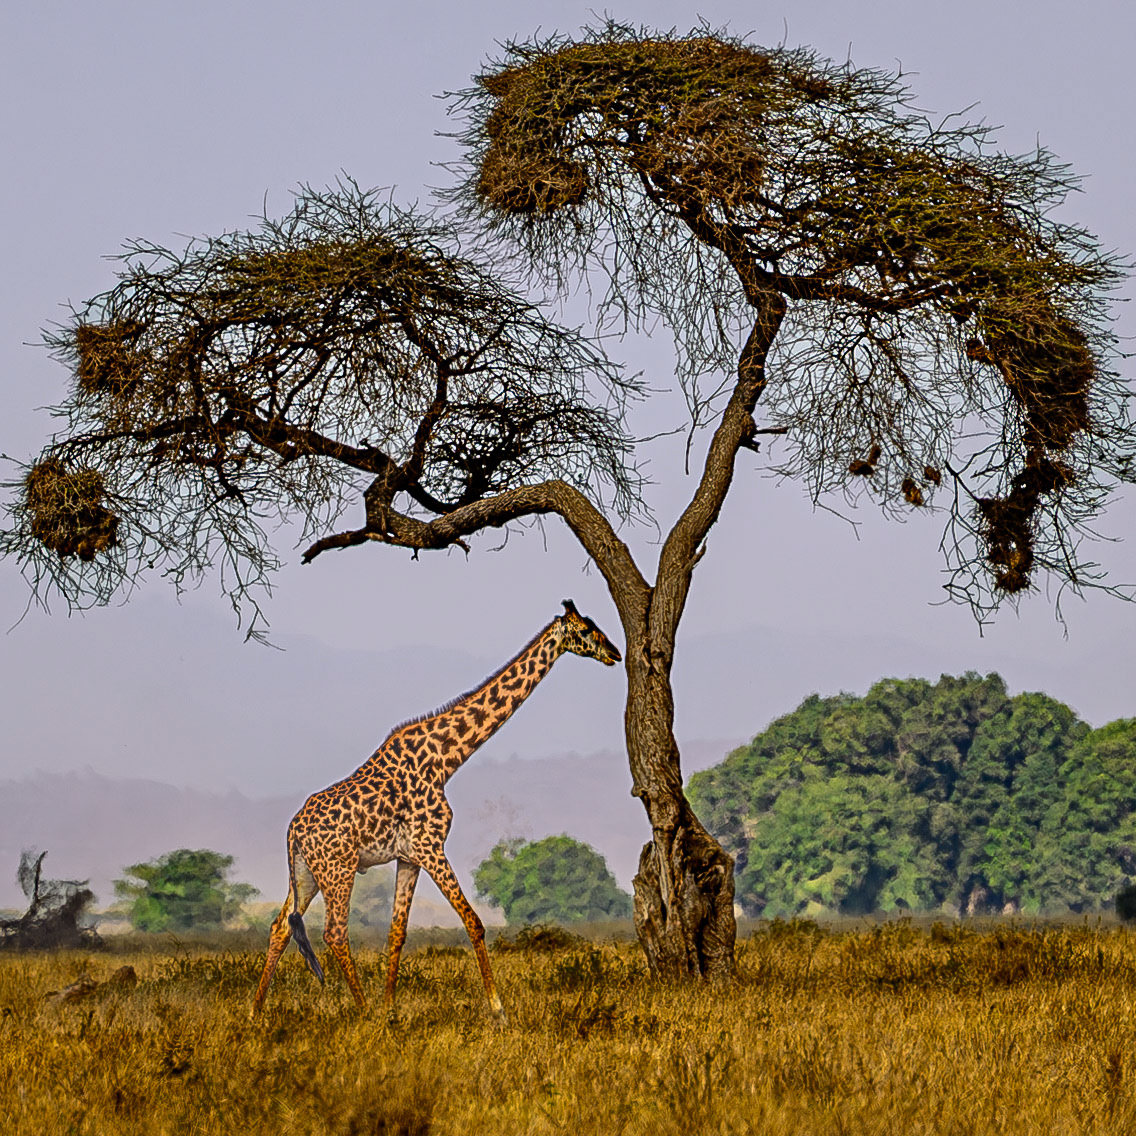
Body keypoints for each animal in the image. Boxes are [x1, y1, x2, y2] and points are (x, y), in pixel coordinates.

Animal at [251, 599, 621, 1021]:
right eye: (586, 630)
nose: (615, 653)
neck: (446, 759)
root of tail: (293, 830)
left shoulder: (409, 857)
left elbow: (397, 933)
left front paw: (392, 1009)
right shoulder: (430, 846)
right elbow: (473, 921)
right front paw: (498, 1010)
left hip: (306, 872)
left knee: (281, 926)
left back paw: (256, 1012)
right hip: (338, 868)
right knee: (334, 931)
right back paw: (363, 1009)